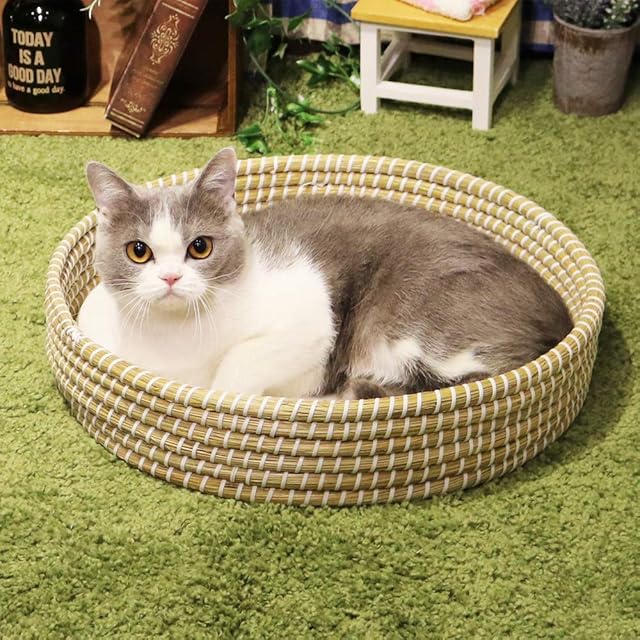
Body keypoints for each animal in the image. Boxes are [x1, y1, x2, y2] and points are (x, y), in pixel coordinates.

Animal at [78, 147, 573, 399]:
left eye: (199, 247)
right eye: (138, 251)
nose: (170, 279)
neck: (177, 342)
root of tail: (562, 317)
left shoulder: (308, 316)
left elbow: (239, 367)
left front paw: (224, 394)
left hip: (415, 318)